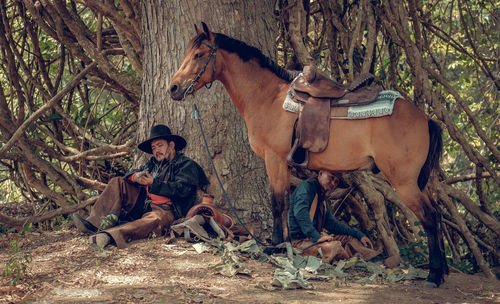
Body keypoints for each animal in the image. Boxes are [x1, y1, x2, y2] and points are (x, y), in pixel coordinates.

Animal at [170, 22, 448, 286]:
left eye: (198, 54)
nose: (173, 88)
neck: (268, 97)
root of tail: (425, 118)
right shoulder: (281, 163)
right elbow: (283, 202)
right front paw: (282, 243)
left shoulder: (275, 159)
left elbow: (278, 202)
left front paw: (275, 245)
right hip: (415, 183)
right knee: (436, 214)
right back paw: (441, 271)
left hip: (404, 182)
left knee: (429, 217)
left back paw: (434, 275)